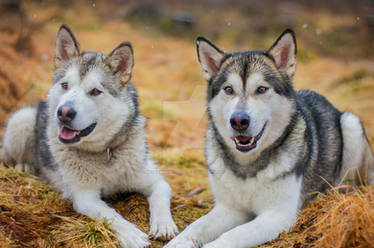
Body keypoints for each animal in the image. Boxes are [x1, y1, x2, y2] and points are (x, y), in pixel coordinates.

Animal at [1, 24, 178, 247]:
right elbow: (110, 214)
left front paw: (164, 224)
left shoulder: (155, 180)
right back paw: (25, 165)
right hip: (21, 120)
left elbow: (161, 196)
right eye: (65, 85)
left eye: (95, 91)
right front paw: (131, 234)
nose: (63, 112)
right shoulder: (85, 196)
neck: (105, 154)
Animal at [166, 29, 374, 248]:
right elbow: (194, 228)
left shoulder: (278, 215)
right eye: (229, 89)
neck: (247, 166)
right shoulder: (230, 208)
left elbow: (235, 234)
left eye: (261, 89)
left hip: (350, 124)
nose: (239, 121)